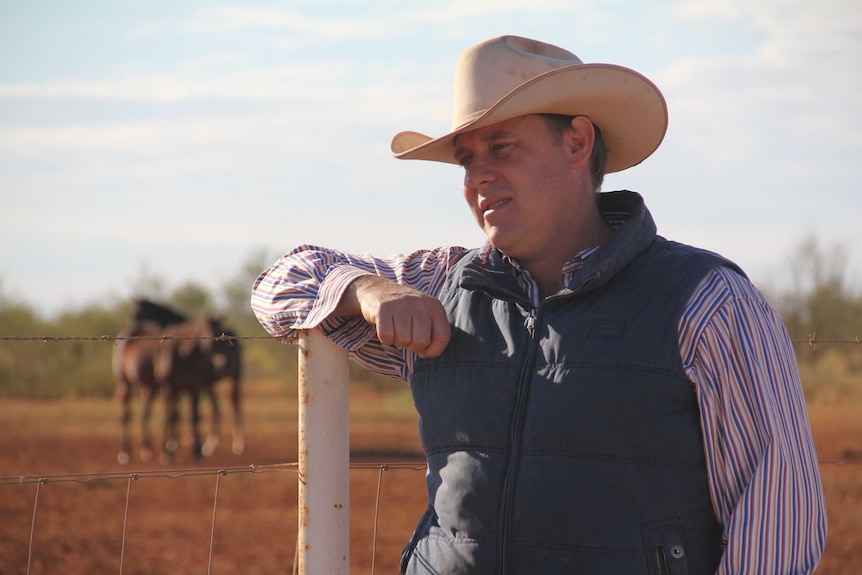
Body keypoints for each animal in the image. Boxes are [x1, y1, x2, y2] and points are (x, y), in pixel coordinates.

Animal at [113, 300, 245, 466]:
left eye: (220, 337)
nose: (223, 361)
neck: (185, 355)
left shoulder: (193, 388)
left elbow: (193, 416)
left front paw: (194, 451)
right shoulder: (170, 388)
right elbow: (171, 416)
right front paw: (168, 452)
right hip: (127, 384)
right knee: (127, 414)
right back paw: (127, 452)